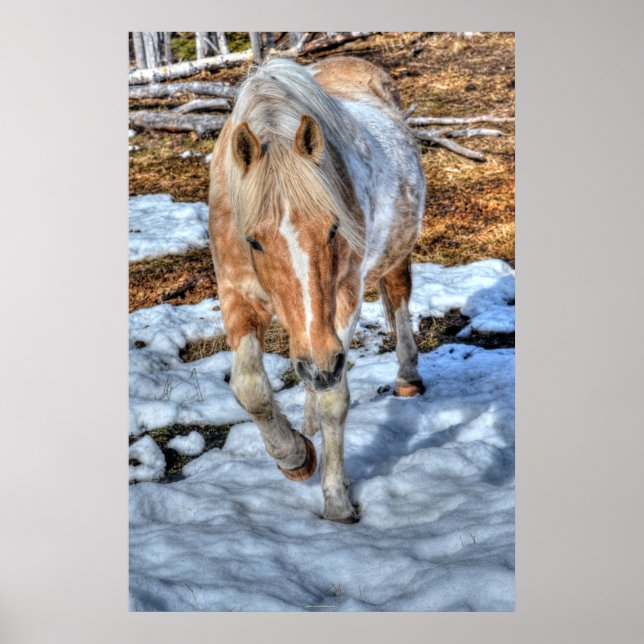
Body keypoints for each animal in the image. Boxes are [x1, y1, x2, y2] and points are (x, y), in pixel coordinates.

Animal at [208, 56, 426, 523]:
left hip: (395, 255)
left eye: (333, 228)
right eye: (254, 242)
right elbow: (250, 388)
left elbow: (334, 401)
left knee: (398, 299)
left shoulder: (342, 301)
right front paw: (294, 455)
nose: (323, 366)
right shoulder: (236, 295)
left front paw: (337, 500)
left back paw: (408, 379)